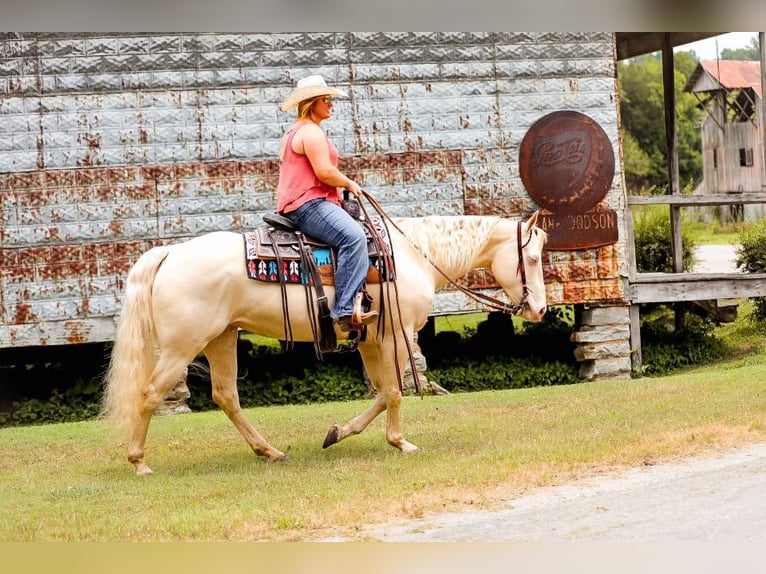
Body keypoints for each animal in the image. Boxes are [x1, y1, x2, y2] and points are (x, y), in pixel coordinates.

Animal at [102, 213, 548, 476]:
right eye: (534, 258)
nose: (540, 309)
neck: (411, 254)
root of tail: (170, 253)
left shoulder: (370, 340)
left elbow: (382, 392)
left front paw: (338, 432)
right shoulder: (397, 335)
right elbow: (395, 392)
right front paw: (401, 442)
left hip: (220, 338)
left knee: (226, 395)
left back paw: (270, 452)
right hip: (183, 346)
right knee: (150, 393)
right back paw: (139, 462)